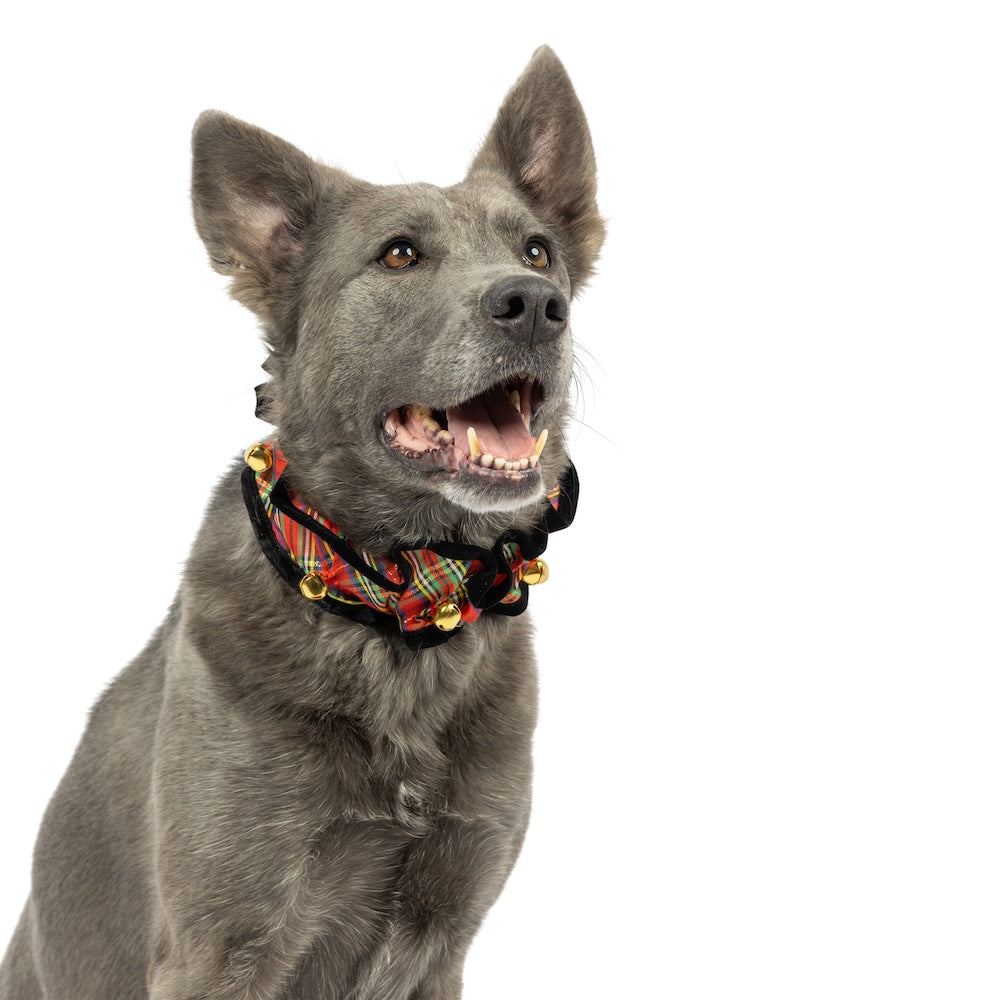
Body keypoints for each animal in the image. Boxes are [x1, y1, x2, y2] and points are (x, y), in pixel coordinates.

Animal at [1, 47, 600, 1000]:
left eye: (537, 248)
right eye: (399, 255)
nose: (537, 302)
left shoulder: (444, 937)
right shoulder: (221, 947)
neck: (398, 606)